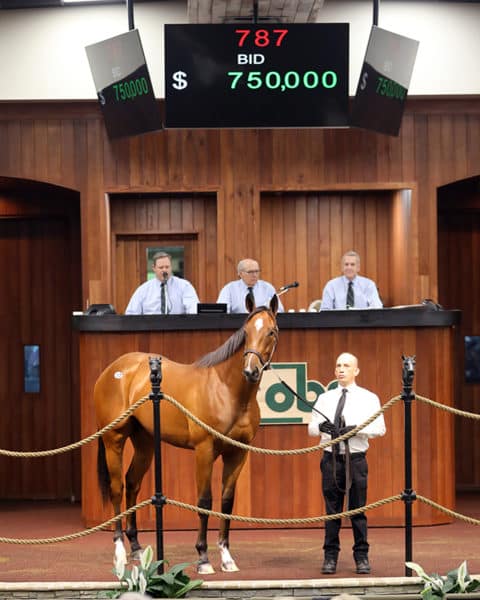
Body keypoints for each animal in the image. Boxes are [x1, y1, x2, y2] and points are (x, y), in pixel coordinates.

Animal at [94, 292, 280, 576]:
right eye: (246, 332)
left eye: (271, 331)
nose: (251, 371)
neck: (226, 390)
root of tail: (114, 370)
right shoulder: (204, 450)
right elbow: (204, 502)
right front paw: (203, 558)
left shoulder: (238, 452)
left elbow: (227, 502)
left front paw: (226, 557)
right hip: (113, 440)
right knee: (117, 488)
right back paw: (120, 553)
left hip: (145, 443)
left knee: (133, 483)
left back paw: (136, 547)